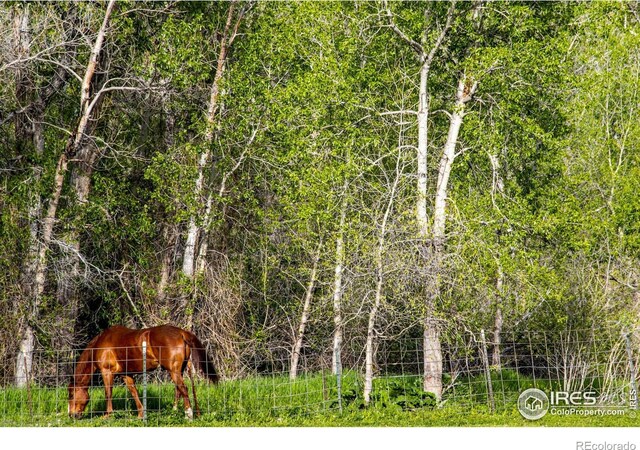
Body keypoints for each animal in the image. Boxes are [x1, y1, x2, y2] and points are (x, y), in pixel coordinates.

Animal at [67, 326, 218, 420]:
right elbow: (134, 392)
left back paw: (188, 415)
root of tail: (182, 332)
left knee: (183, 389)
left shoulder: (107, 372)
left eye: (71, 394)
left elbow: (108, 393)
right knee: (179, 390)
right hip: (178, 370)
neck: (101, 343)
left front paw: (108, 415)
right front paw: (141, 414)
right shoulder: (126, 374)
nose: (71, 415)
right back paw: (175, 411)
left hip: (174, 371)